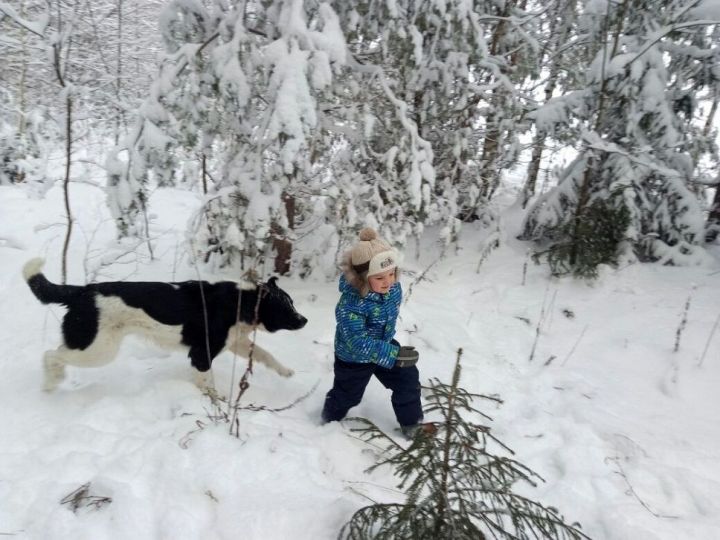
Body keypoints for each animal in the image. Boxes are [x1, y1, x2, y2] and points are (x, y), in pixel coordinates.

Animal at [22, 258, 306, 392]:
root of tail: (81, 291)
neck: (241, 301)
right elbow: (207, 384)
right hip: (98, 349)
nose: (305, 320)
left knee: (56, 353)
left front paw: (285, 371)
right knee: (51, 355)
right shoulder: (201, 355)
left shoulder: (235, 342)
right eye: (286, 307)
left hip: (92, 345)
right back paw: (50, 384)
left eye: (292, 303)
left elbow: (265, 354)